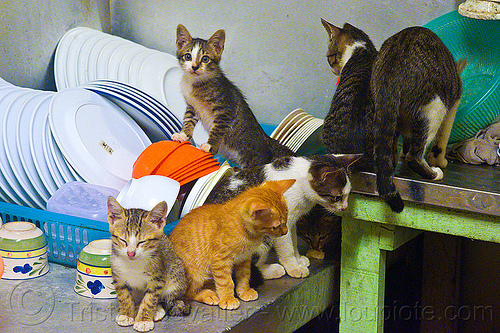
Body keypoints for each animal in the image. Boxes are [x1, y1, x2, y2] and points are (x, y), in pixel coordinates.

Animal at [107, 196, 189, 330]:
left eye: (142, 242)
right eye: (123, 240)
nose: (131, 253)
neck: (133, 264)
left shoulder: (157, 278)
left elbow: (150, 299)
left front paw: (143, 320)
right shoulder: (118, 276)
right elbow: (124, 296)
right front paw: (127, 314)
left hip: (176, 275)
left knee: (164, 298)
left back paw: (157, 310)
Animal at [169, 179, 292, 308]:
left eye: (286, 218)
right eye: (276, 226)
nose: (285, 232)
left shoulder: (244, 259)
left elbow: (244, 276)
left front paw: (244, 291)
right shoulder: (220, 261)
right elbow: (226, 282)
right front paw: (227, 298)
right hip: (196, 274)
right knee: (189, 293)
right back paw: (208, 295)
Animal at [173, 24, 294, 167]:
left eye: (205, 59)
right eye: (188, 56)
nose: (195, 67)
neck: (194, 82)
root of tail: (267, 139)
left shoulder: (225, 110)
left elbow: (217, 130)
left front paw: (209, 146)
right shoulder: (192, 106)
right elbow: (188, 120)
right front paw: (183, 135)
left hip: (253, 159)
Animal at [205, 154, 362, 280]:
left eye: (348, 194)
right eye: (337, 197)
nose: (345, 207)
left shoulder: (292, 222)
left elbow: (294, 241)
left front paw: (298, 260)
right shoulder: (279, 224)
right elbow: (287, 248)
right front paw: (294, 267)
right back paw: (271, 270)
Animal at [320, 19, 464, 211]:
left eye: (330, 57)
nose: (334, 71)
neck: (360, 50)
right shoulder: (453, 102)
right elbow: (441, 141)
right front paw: (440, 161)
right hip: (435, 107)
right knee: (415, 156)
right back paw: (434, 173)